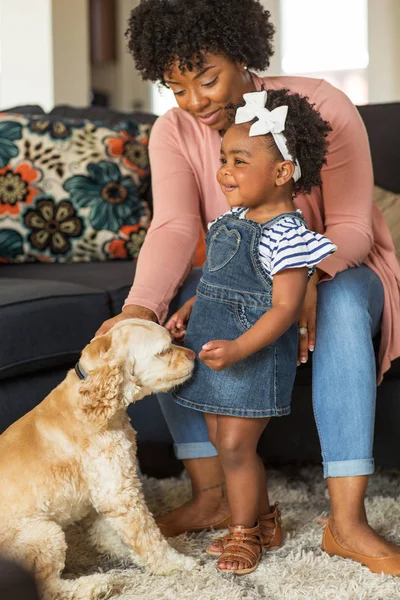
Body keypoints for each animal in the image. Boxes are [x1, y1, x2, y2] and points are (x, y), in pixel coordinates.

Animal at [0, 318, 197, 600]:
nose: (194, 354)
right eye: (163, 351)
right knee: (50, 588)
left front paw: (125, 552)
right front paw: (175, 563)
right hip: (44, 534)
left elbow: (108, 533)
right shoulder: (118, 492)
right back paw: (93, 585)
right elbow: (147, 536)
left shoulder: (104, 490)